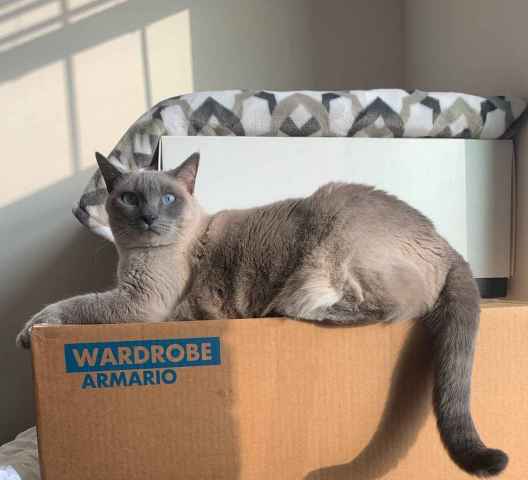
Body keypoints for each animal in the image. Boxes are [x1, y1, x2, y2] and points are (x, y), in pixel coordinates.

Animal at [17, 151, 508, 477]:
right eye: (131, 198)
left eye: (169, 199)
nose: (150, 217)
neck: (132, 255)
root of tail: (445, 243)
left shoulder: (139, 301)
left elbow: (69, 305)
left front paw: (26, 332)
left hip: (328, 243)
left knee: (394, 307)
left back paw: (293, 311)